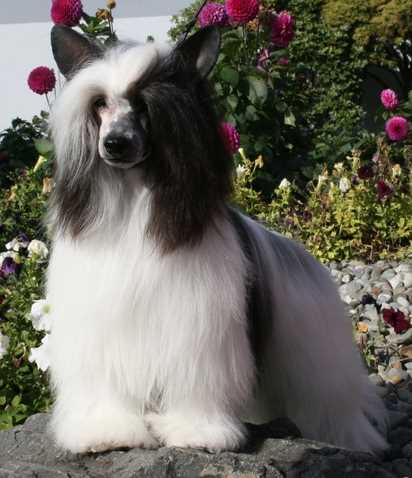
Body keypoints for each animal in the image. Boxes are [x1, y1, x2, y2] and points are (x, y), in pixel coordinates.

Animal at [46, 24, 388, 454]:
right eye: (99, 104)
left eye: (145, 106)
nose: (115, 143)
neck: (136, 202)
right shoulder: (98, 323)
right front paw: (106, 431)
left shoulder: (194, 324)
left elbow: (194, 378)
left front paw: (196, 431)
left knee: (331, 401)